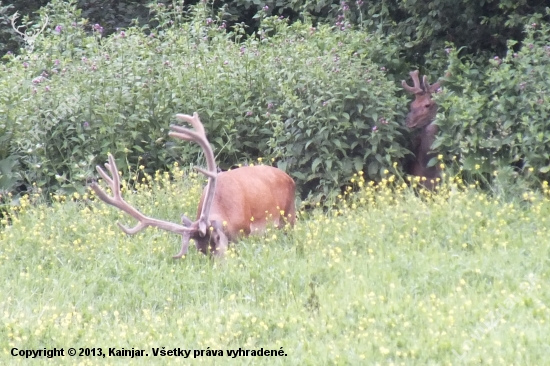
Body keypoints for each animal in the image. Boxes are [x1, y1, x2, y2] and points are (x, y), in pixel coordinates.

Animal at [91, 111, 298, 258]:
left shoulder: (245, 230)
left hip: (289, 218)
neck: (224, 210)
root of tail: (289, 177)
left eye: (216, 238)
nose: (219, 264)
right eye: (200, 249)